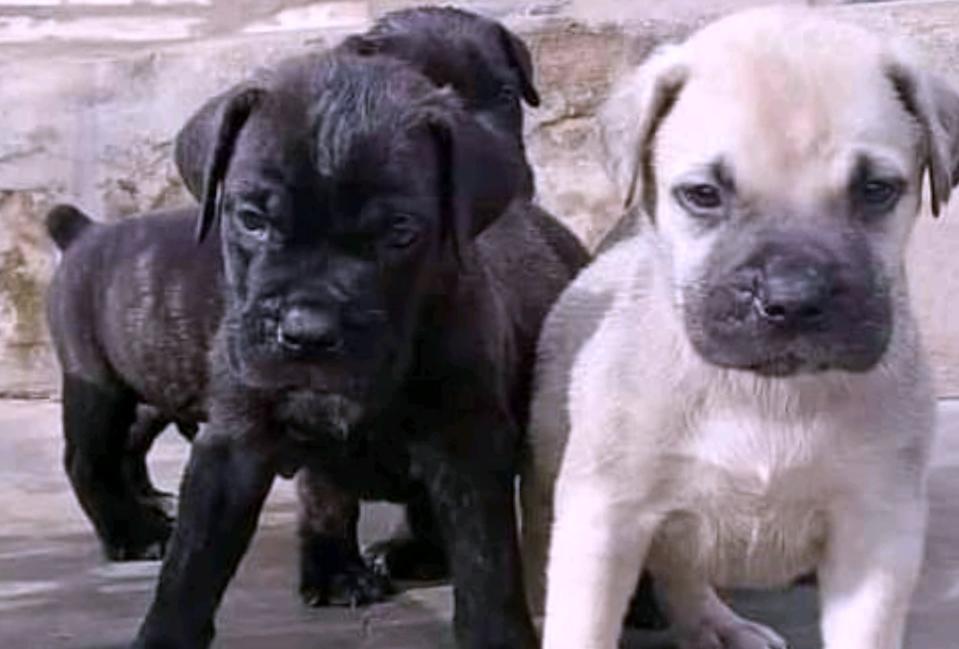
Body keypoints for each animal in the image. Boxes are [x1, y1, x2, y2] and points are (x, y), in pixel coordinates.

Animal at [132, 52, 580, 648]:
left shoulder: (466, 444)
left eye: (399, 233)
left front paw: (496, 637)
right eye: (251, 219)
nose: (307, 331)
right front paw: (162, 635)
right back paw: (336, 568)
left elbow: (486, 562)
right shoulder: (233, 443)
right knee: (325, 494)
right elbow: (190, 564)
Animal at [520, 6, 959, 648]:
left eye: (876, 190)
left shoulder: (877, 531)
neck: (767, 391)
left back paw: (715, 624)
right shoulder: (605, 517)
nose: (792, 297)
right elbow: (583, 626)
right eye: (703, 195)